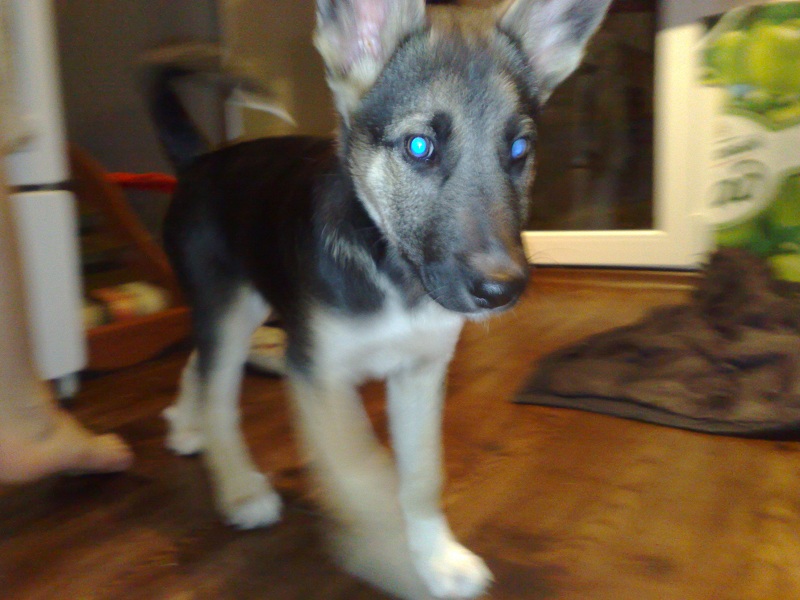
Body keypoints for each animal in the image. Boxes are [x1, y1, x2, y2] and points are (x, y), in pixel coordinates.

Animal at [147, 1, 610, 597]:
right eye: (419, 147)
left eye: (519, 150)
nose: (502, 289)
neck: (393, 274)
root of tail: (198, 161)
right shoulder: (317, 373)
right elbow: (364, 477)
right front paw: (393, 563)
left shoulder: (422, 371)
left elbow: (421, 475)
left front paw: (437, 557)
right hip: (230, 306)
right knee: (221, 393)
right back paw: (239, 486)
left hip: (248, 304)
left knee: (199, 365)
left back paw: (186, 425)